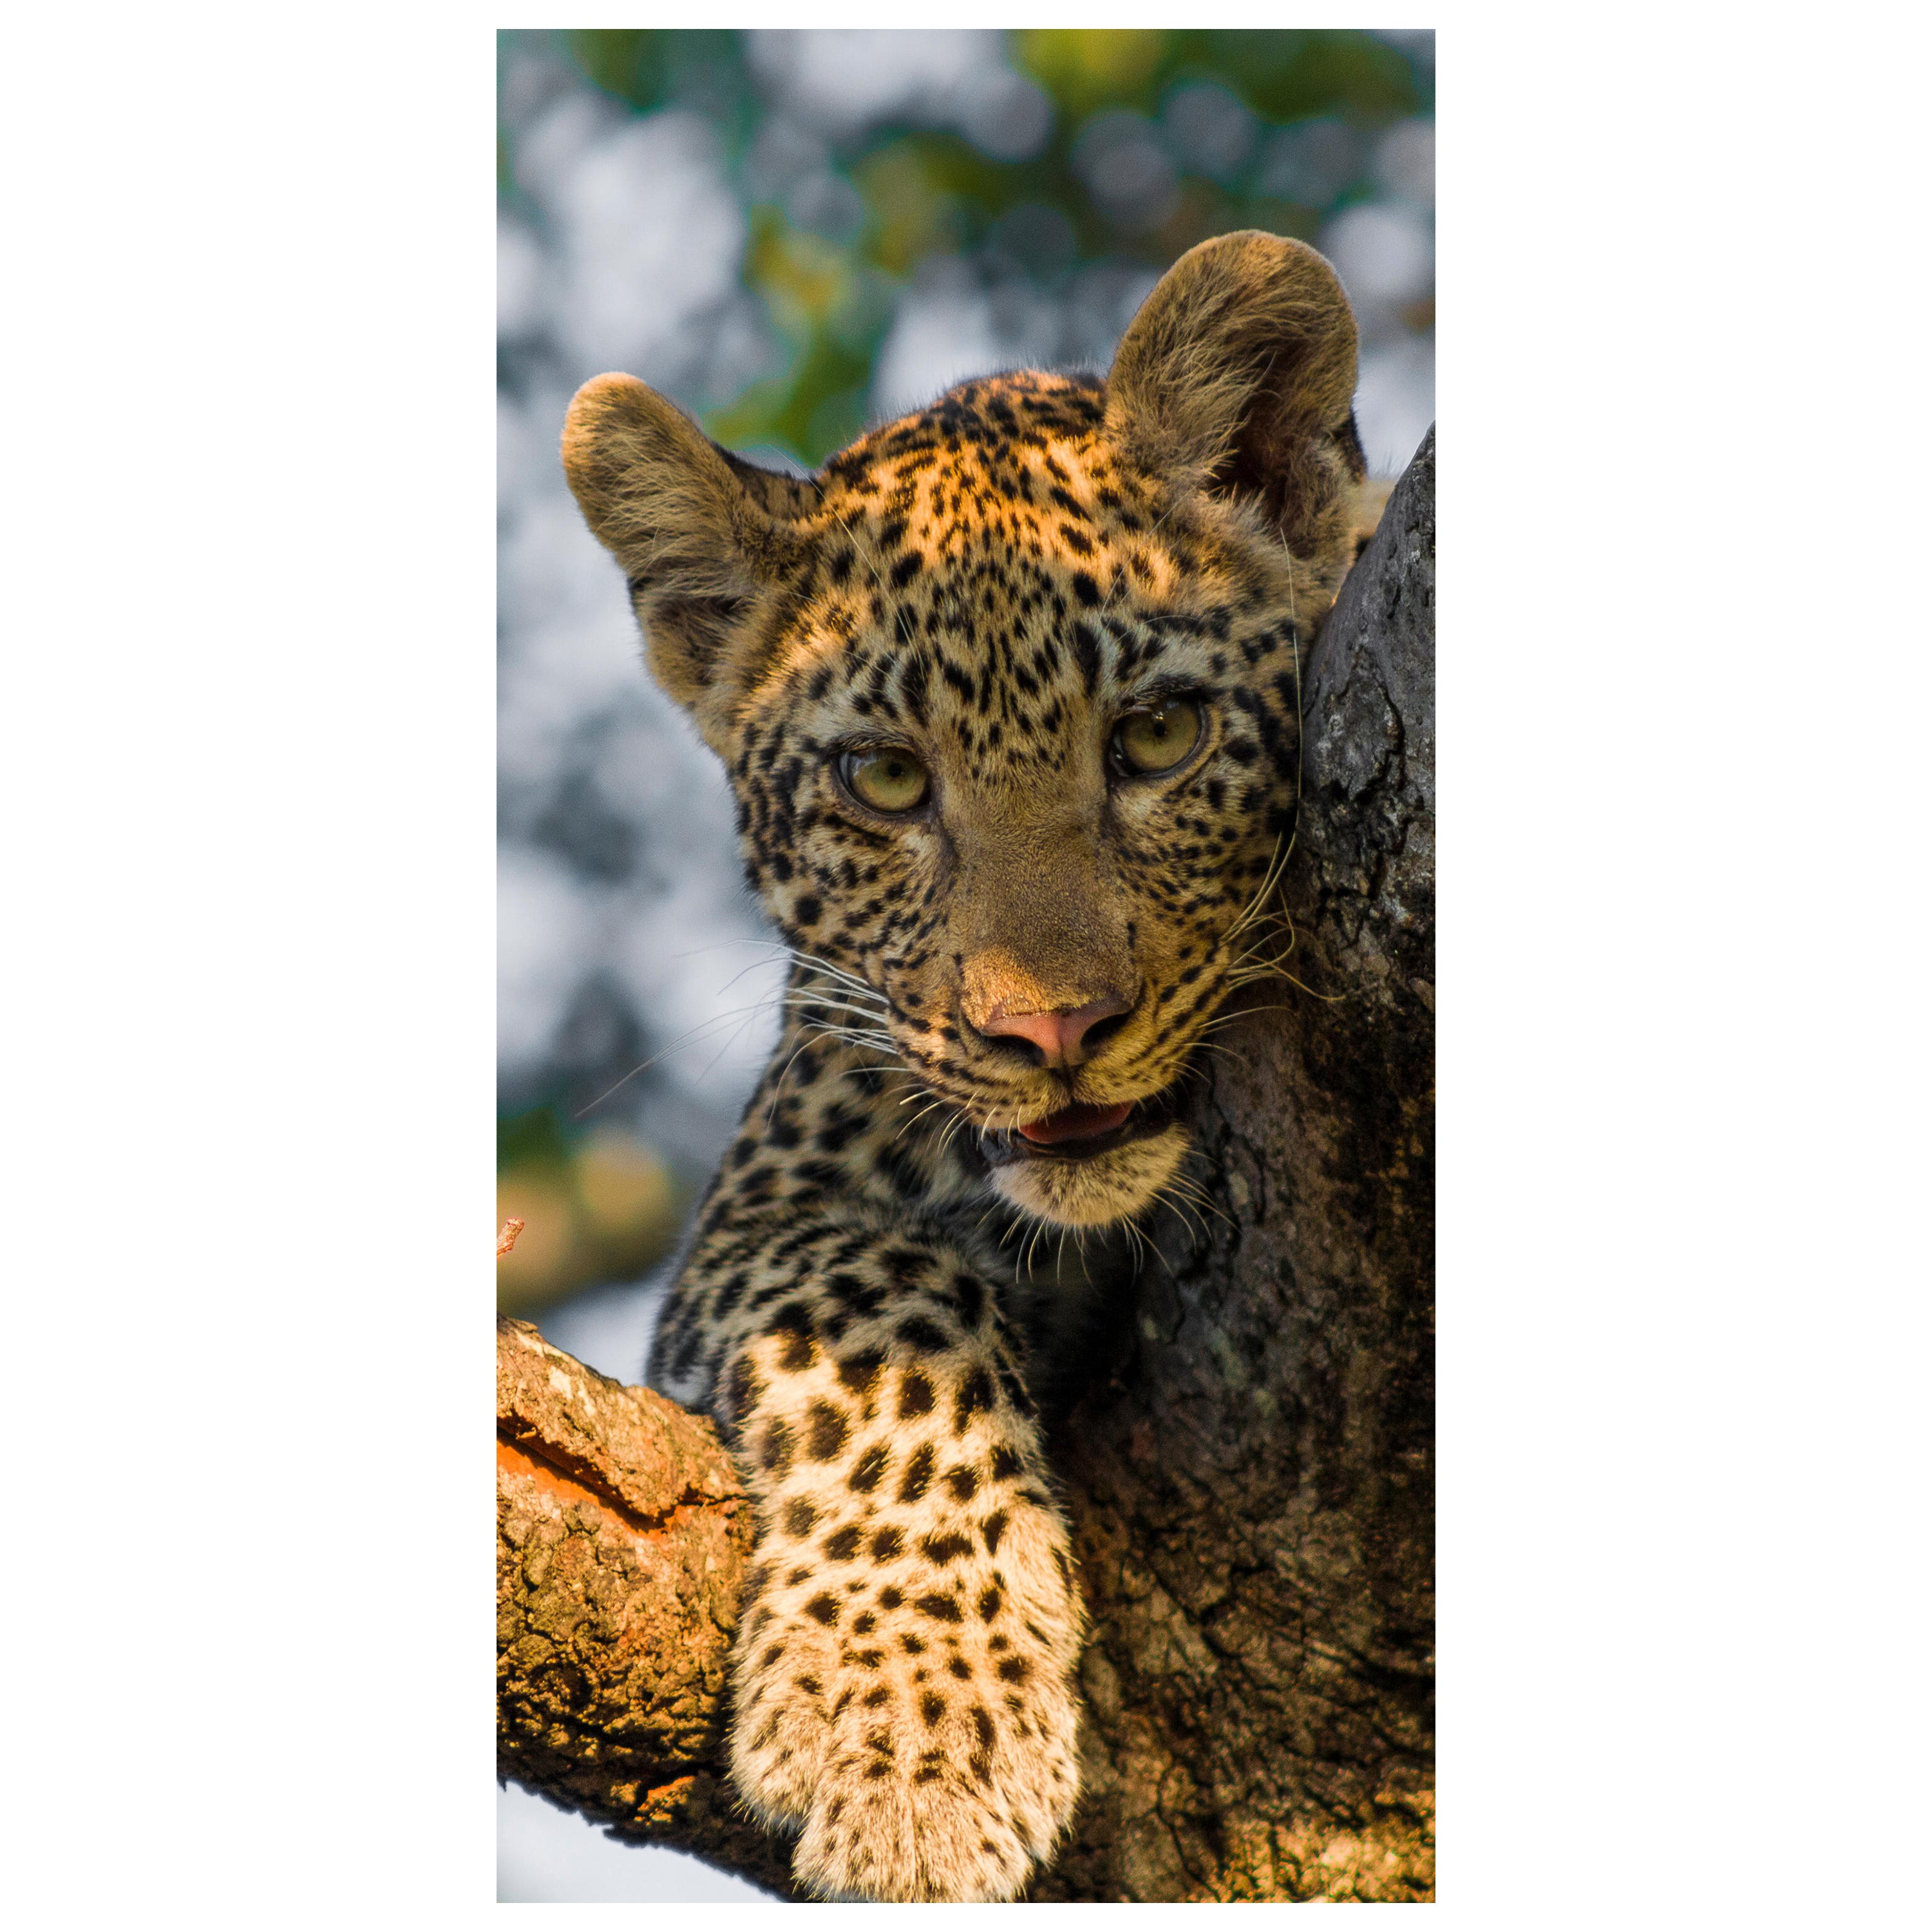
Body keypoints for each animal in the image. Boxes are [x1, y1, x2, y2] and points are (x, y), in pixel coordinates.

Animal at [561, 231, 1384, 1902]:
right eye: (884, 779)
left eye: (1159, 735)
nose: (1050, 1032)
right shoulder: (753, 1217)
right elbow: (883, 1293)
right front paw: (910, 1735)